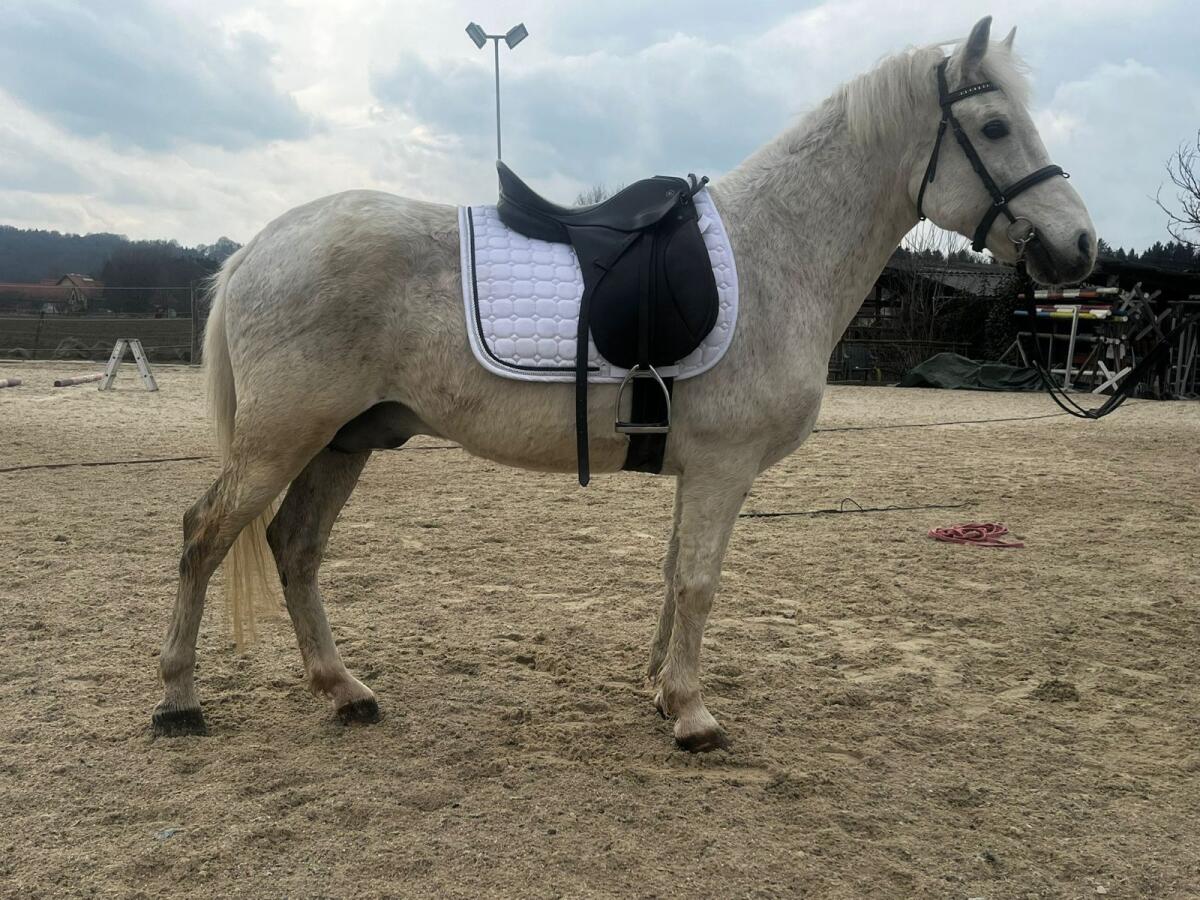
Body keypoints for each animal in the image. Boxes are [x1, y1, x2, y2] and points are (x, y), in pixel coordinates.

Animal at [152, 16, 1096, 751]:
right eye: (997, 128)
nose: (1080, 247)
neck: (776, 254)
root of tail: (261, 244)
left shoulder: (701, 470)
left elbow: (676, 571)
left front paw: (660, 689)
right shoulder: (723, 468)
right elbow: (699, 583)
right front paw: (693, 714)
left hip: (346, 440)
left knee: (295, 547)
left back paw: (343, 689)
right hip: (282, 440)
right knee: (205, 536)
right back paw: (179, 700)